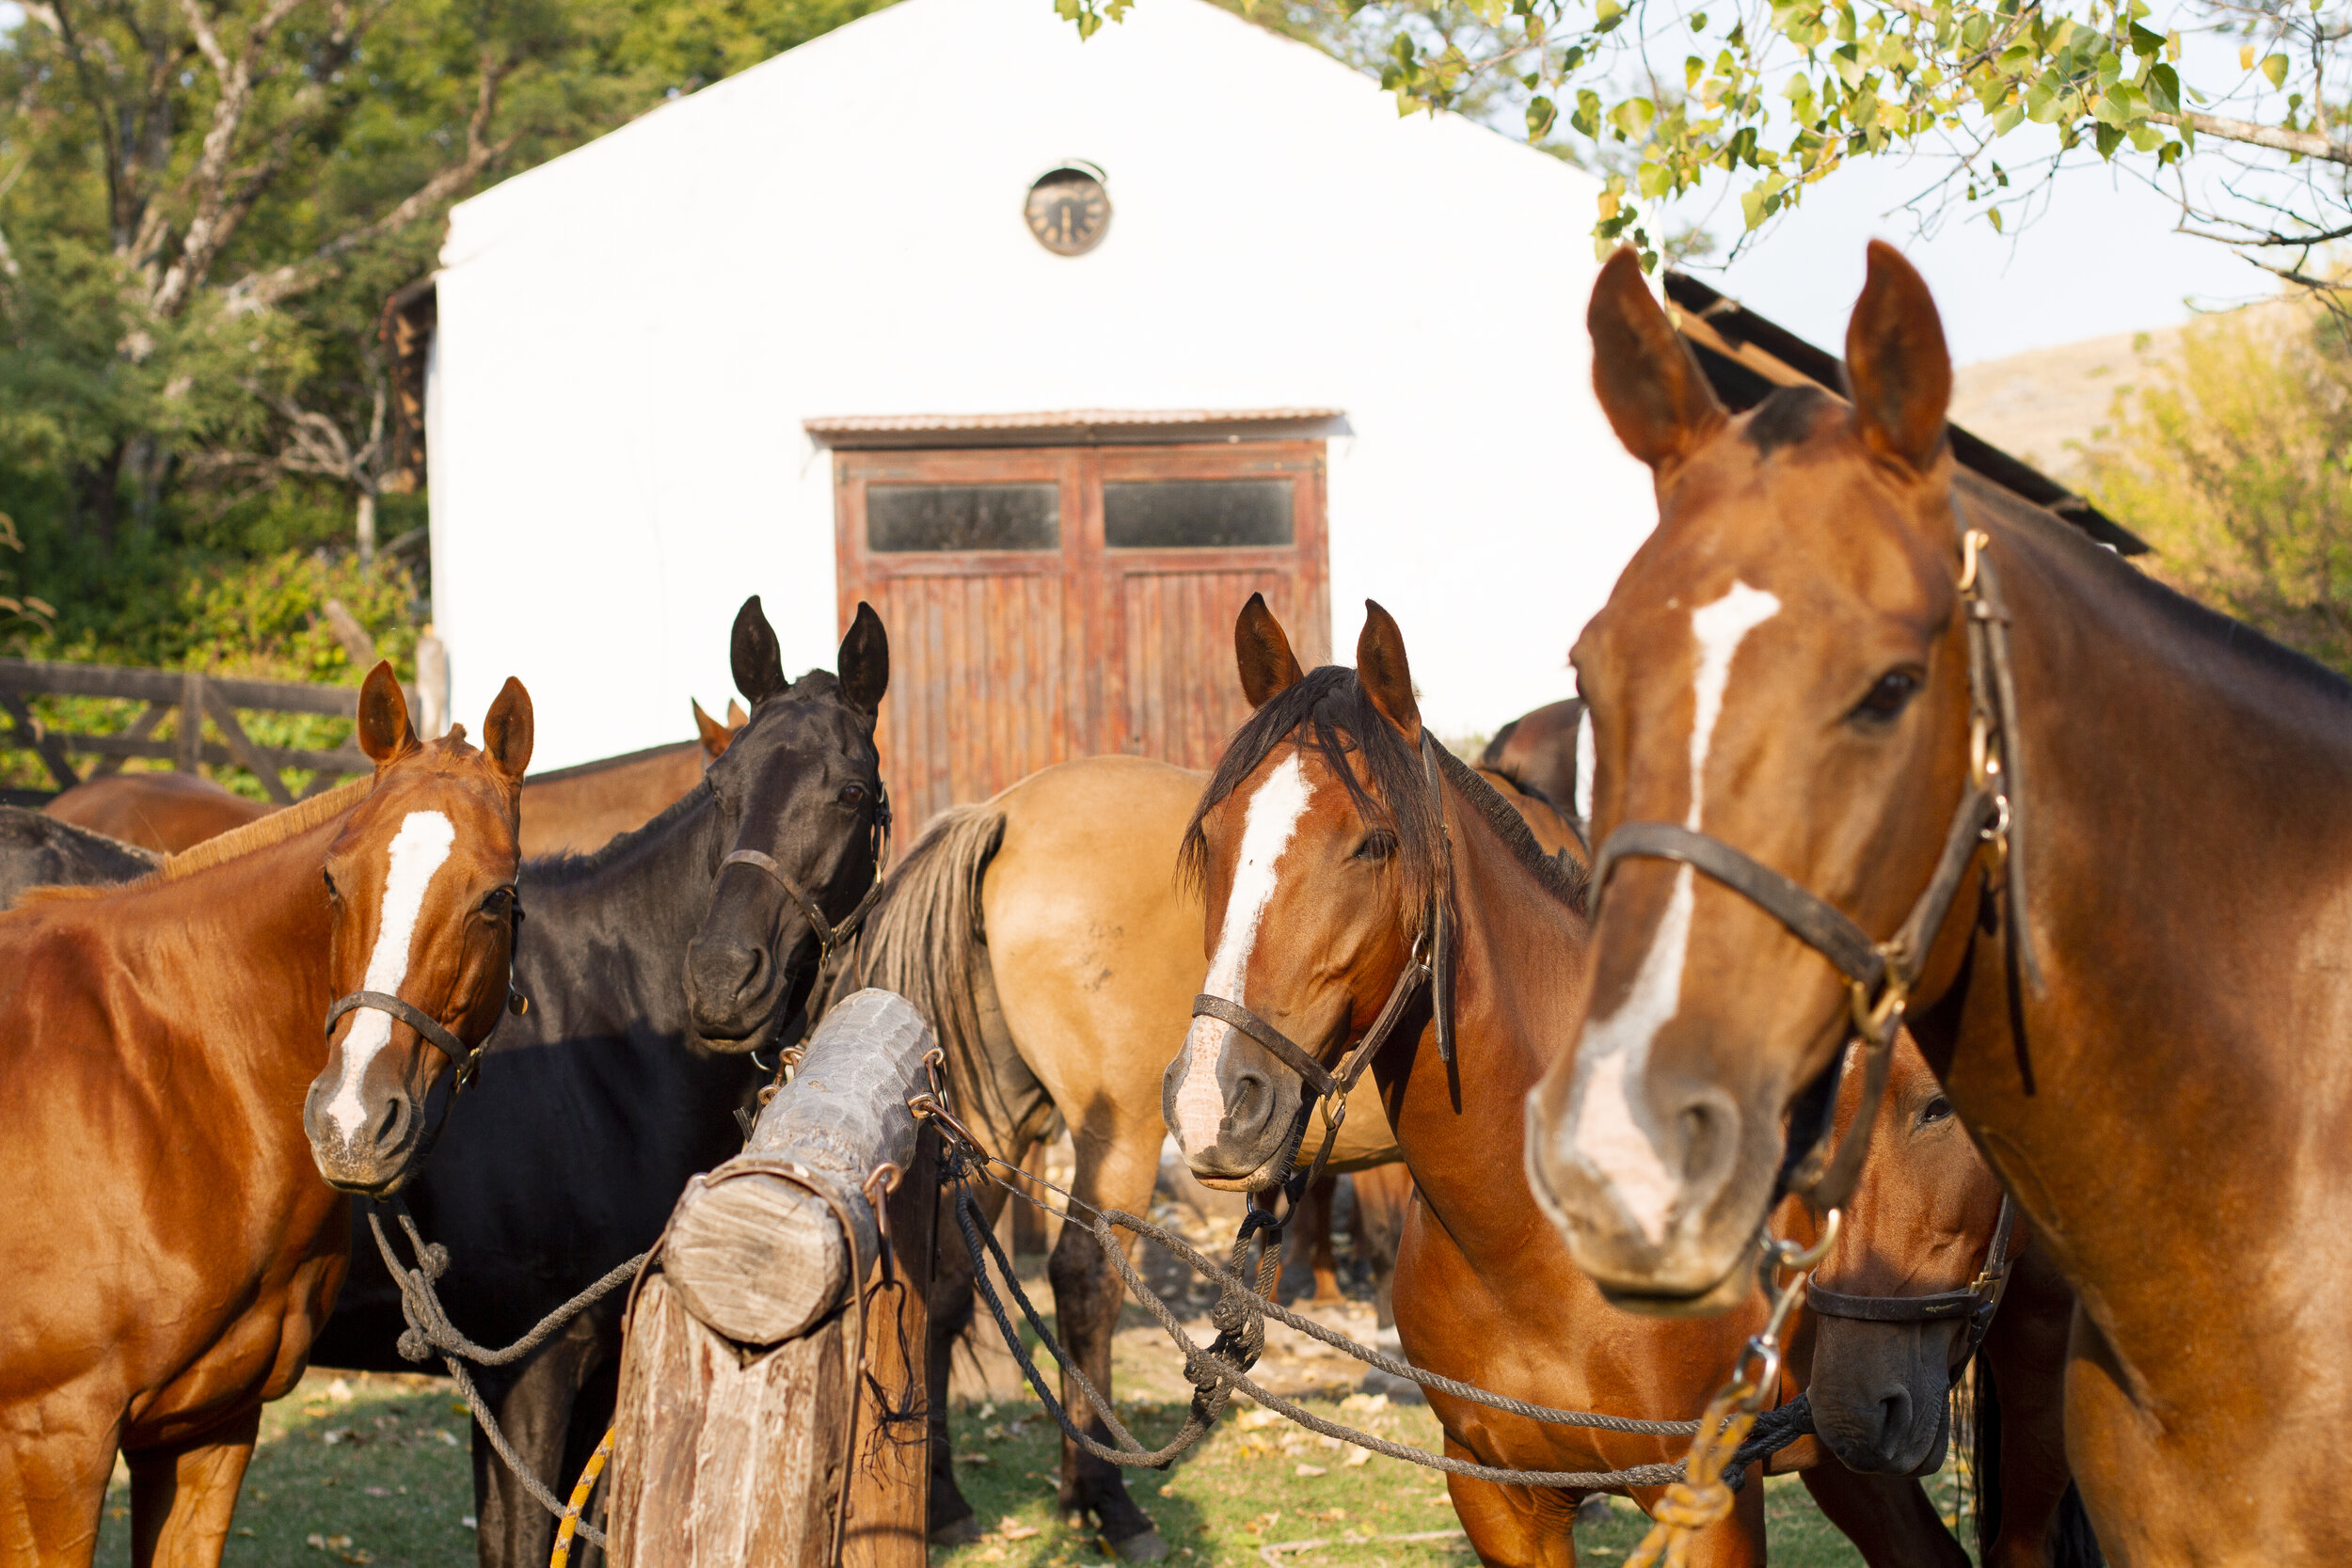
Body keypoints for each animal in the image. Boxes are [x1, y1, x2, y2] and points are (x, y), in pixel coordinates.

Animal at [306, 596, 889, 1568]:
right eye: (720, 789)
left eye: (850, 792)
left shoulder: (587, 1361)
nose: (721, 979)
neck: (603, 1047)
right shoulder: (527, 1366)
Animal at [1157, 596, 1966, 1568]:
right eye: (1214, 835)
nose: (1211, 1101)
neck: (1540, 1247)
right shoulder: (1497, 1493)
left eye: (1374, 843)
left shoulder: (1708, 1504)